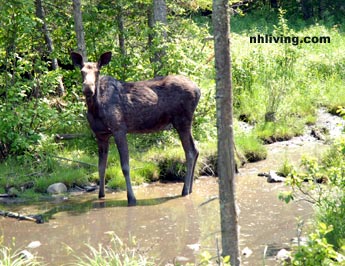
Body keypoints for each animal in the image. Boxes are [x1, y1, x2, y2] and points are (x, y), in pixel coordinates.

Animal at [70, 51, 199, 206]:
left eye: (97, 71)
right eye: (82, 71)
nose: (88, 88)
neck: (95, 109)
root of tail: (199, 90)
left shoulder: (119, 130)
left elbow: (125, 166)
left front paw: (131, 198)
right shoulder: (100, 135)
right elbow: (101, 167)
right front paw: (101, 195)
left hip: (182, 120)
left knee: (189, 152)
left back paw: (185, 190)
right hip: (184, 122)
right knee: (196, 149)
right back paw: (190, 189)